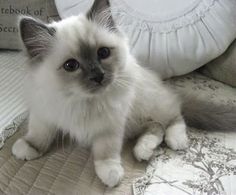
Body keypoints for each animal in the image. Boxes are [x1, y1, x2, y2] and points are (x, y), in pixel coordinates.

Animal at [12, 0, 188, 187]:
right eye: (70, 65)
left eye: (103, 53)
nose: (98, 76)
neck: (80, 100)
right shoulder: (44, 113)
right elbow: (39, 134)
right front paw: (28, 147)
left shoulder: (110, 125)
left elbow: (106, 152)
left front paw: (110, 173)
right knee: (155, 127)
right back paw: (143, 150)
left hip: (152, 104)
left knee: (173, 117)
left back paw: (176, 141)